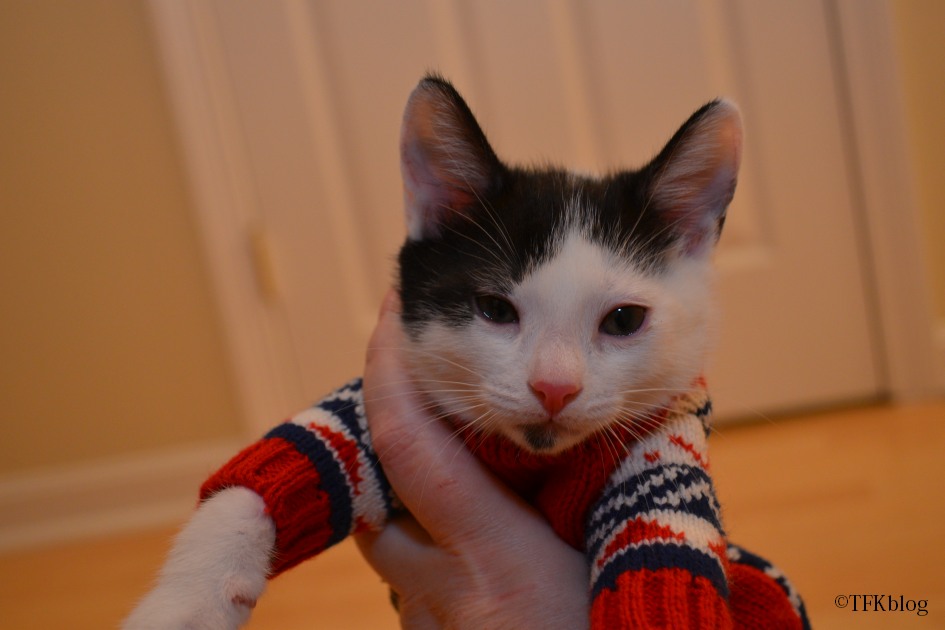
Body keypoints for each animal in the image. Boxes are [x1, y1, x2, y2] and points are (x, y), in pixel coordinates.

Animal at [125, 76, 808, 629]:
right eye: (495, 309)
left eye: (623, 320)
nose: (554, 387)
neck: (531, 462)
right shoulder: (370, 418)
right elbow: (296, 461)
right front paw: (184, 605)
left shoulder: (656, 455)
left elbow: (661, 552)